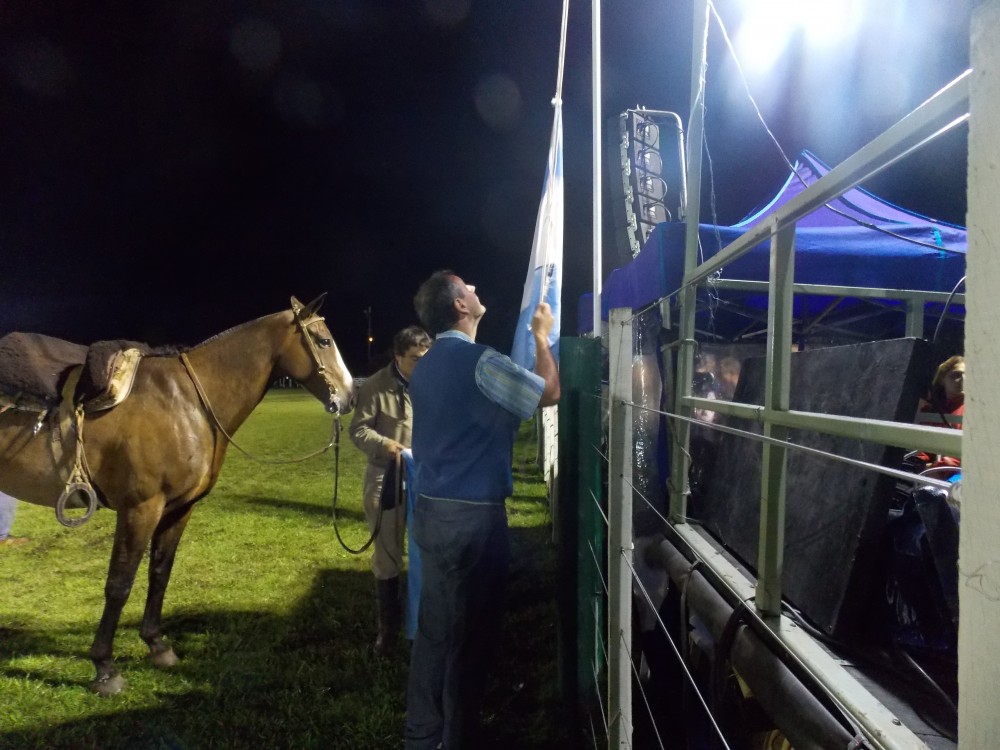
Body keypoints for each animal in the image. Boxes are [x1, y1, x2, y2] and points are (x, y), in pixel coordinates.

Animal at [0, 296, 354, 700]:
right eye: (323, 341)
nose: (350, 396)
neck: (185, 403)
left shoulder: (178, 509)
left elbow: (160, 573)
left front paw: (157, 645)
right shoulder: (140, 509)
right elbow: (119, 584)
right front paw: (105, 668)